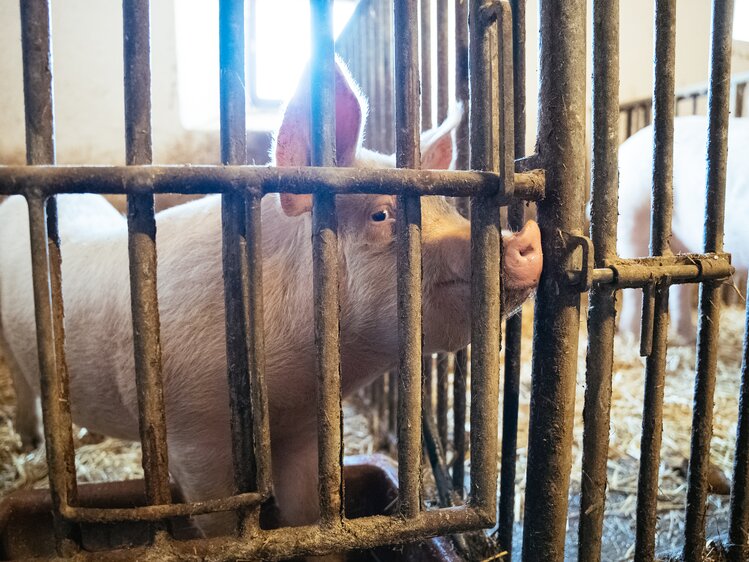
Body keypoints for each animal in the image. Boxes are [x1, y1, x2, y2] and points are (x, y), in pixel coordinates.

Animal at [0, 61, 540, 532]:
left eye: (450, 206)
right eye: (382, 215)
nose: (524, 239)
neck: (284, 389)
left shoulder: (303, 428)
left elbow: (306, 511)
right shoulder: (193, 435)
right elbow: (219, 522)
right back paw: (29, 437)